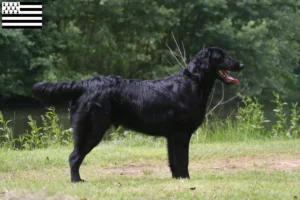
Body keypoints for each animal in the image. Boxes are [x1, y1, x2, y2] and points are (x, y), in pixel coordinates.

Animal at [32, 47, 244, 182]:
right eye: (222, 56)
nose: (241, 64)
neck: (193, 82)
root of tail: (85, 84)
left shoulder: (172, 136)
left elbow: (174, 161)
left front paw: (178, 179)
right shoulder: (181, 134)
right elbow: (182, 160)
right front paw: (186, 179)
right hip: (91, 130)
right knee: (74, 157)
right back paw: (77, 180)